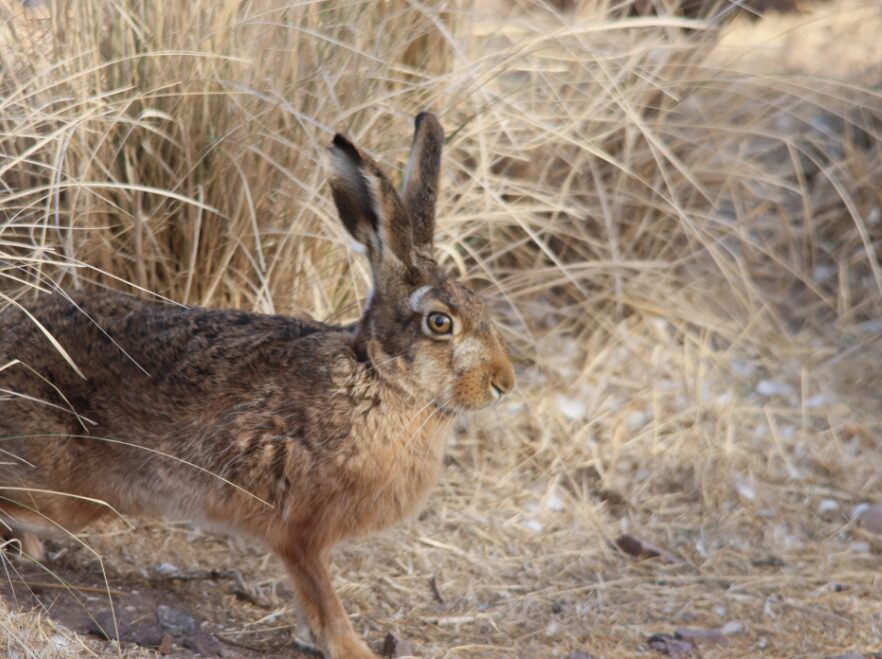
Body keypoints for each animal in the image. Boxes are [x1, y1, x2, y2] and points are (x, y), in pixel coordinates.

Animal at [0, 112, 515, 658]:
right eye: (440, 323)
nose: (505, 382)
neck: (376, 379)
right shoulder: (302, 532)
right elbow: (322, 596)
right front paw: (351, 648)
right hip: (61, 491)